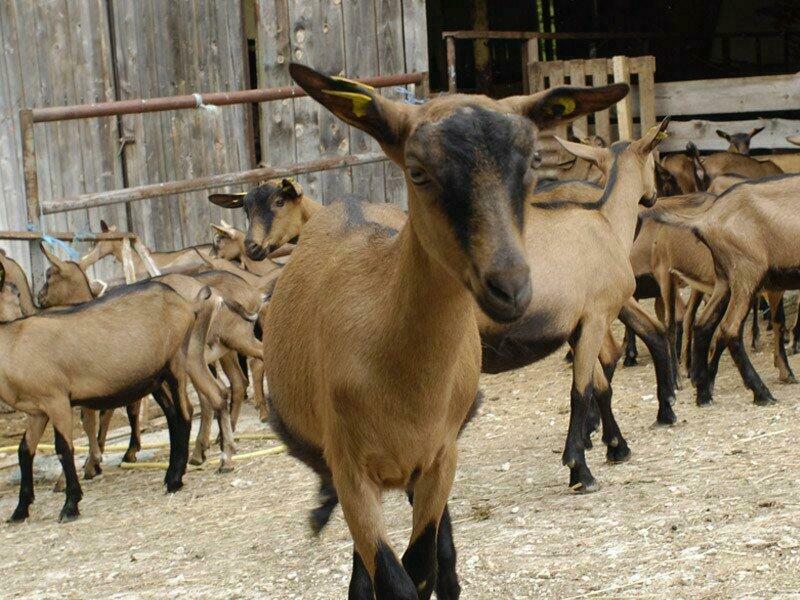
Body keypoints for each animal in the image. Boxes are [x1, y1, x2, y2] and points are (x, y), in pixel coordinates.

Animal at [0, 262, 222, 520]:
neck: (13, 343)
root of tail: (186, 304)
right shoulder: (37, 411)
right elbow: (24, 451)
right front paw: (20, 510)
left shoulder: (57, 401)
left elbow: (64, 449)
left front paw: (71, 505)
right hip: (156, 377)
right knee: (174, 417)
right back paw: (171, 476)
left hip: (176, 363)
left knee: (185, 414)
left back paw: (175, 479)